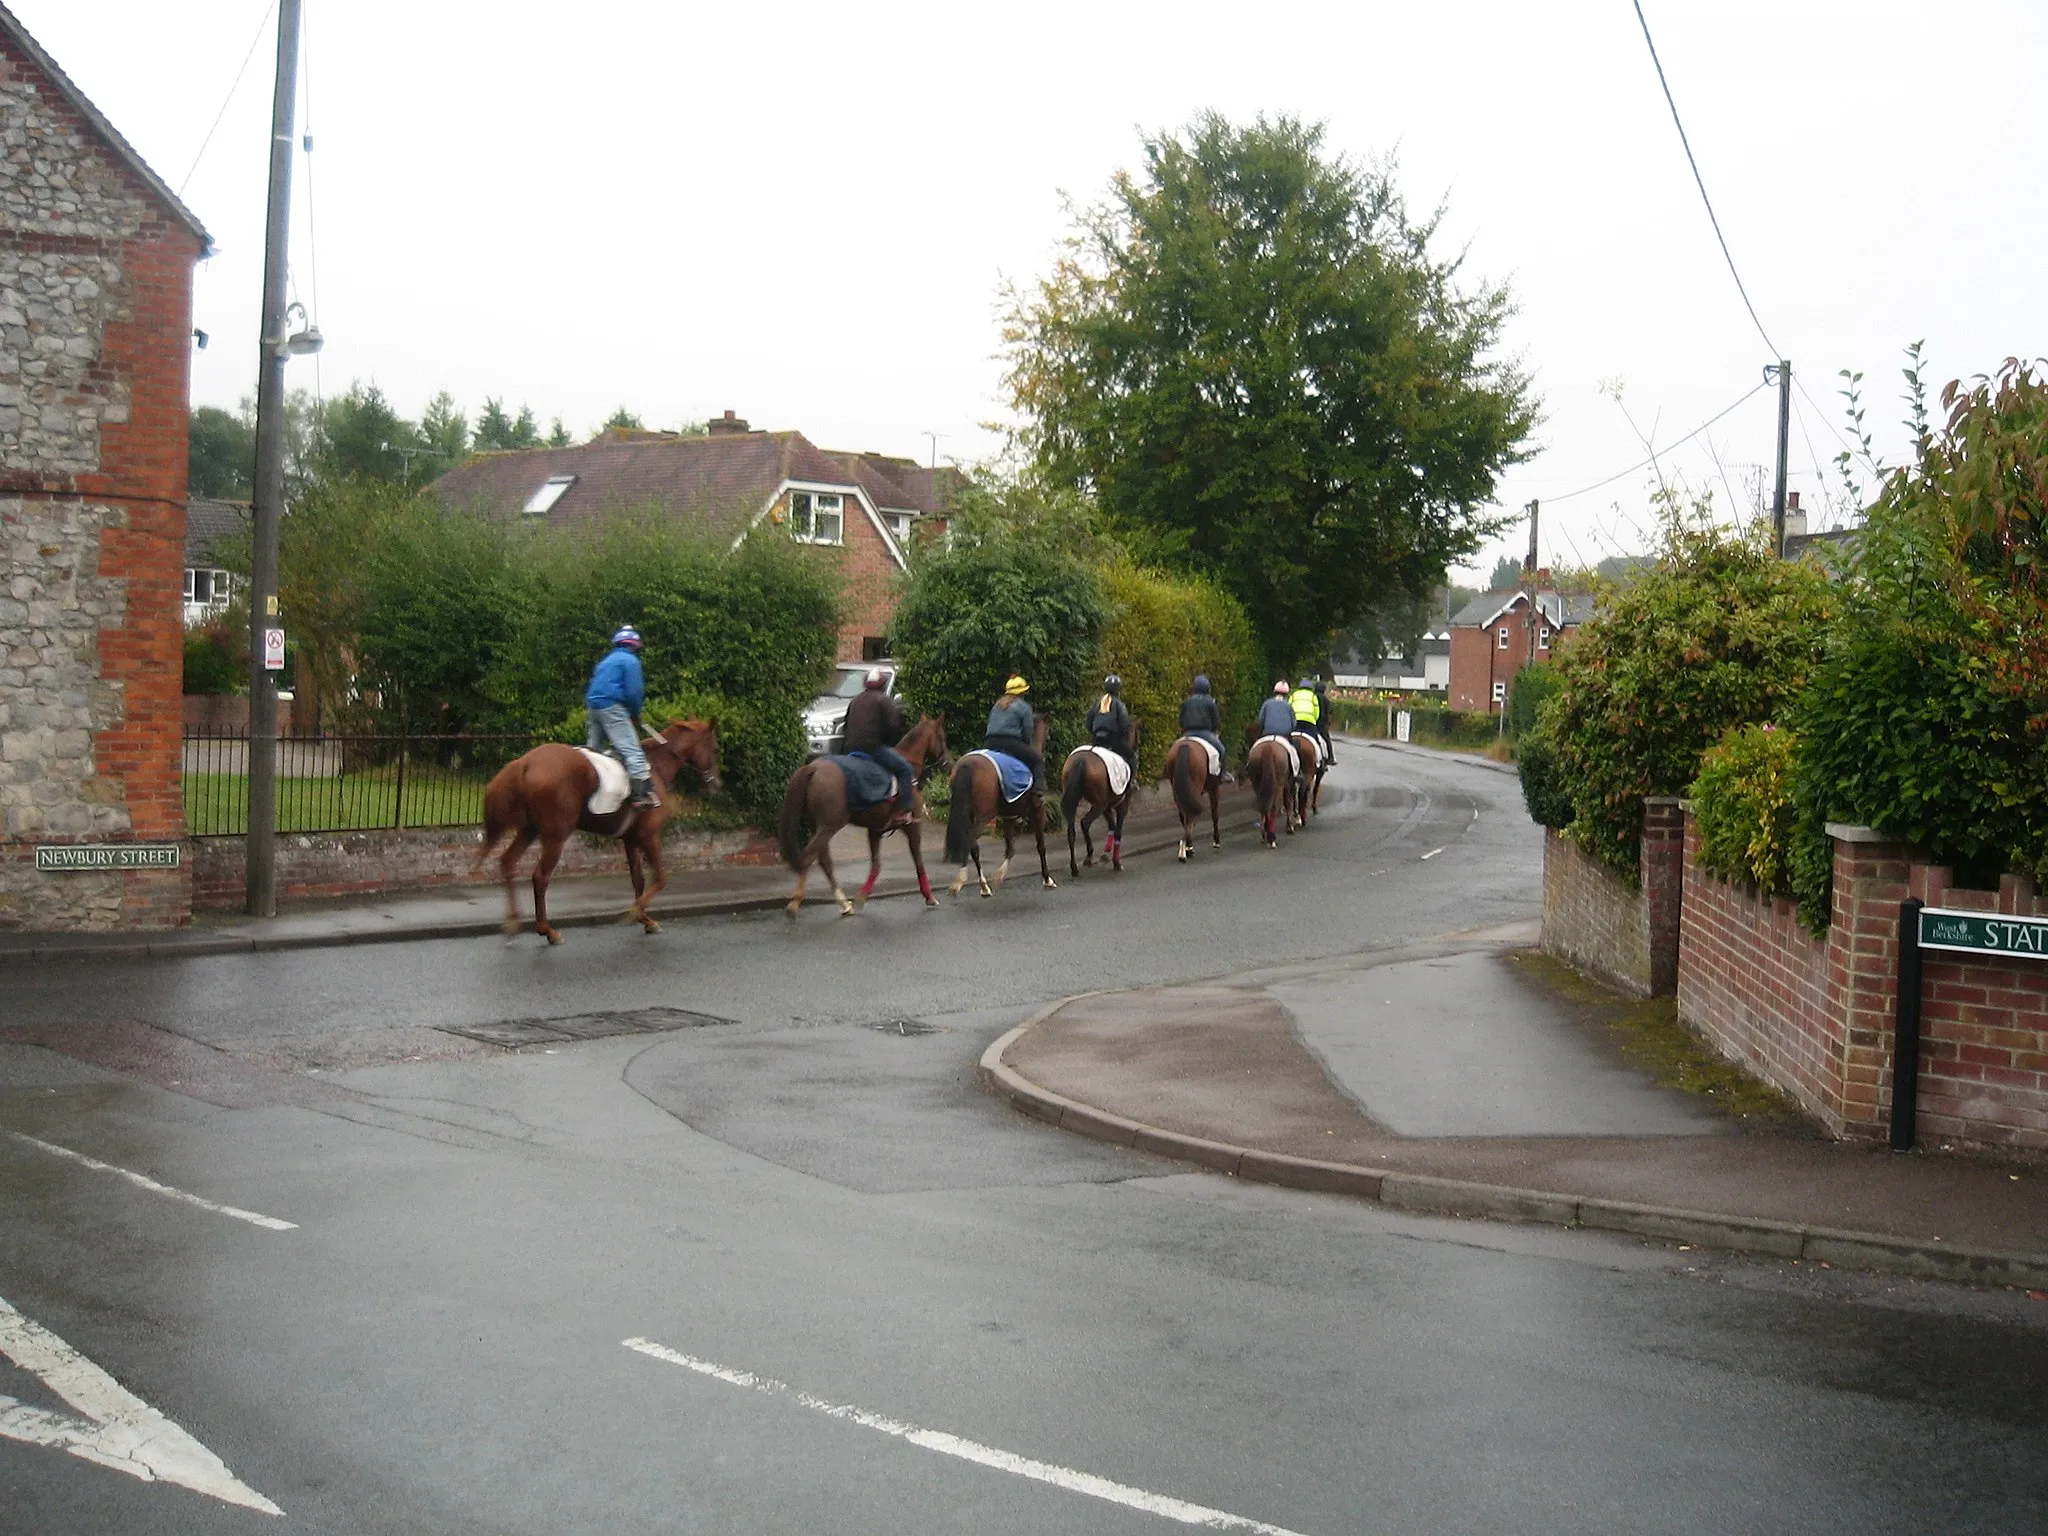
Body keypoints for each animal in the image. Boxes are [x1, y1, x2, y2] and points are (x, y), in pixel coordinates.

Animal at [475, 716, 724, 946]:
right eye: (714, 748)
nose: (716, 784)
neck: (656, 767)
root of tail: (524, 762)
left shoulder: (631, 839)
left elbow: (638, 879)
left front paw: (645, 919)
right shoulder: (649, 836)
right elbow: (660, 878)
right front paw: (633, 913)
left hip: (530, 829)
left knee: (508, 861)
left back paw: (513, 922)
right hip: (556, 835)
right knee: (540, 877)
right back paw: (547, 930)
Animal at [774, 716, 950, 921]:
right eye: (942, 737)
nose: (948, 763)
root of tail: (813, 767)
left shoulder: (875, 830)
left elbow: (876, 865)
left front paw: (861, 897)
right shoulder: (913, 826)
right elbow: (918, 861)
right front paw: (929, 896)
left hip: (818, 826)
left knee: (824, 861)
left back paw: (843, 903)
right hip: (829, 826)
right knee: (809, 856)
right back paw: (795, 903)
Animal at [942, 720, 1056, 901]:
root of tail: (968, 764)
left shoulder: (1009, 817)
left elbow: (1010, 848)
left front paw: (1000, 876)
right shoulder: (1038, 811)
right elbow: (1040, 846)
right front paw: (1047, 878)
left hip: (970, 814)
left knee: (973, 846)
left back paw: (983, 886)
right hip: (983, 816)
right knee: (970, 841)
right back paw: (961, 881)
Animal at [1064, 720, 1146, 876]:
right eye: (1137, 734)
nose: (1137, 749)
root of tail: (1081, 760)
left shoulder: (1107, 807)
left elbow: (1112, 826)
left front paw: (1106, 853)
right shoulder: (1121, 804)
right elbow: (1118, 830)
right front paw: (1116, 862)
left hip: (1080, 801)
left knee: (1071, 831)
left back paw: (1074, 867)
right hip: (1099, 805)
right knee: (1085, 823)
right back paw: (1089, 857)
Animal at [1163, 737, 1220, 868]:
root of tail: (1185, 746)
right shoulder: (1214, 788)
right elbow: (1214, 814)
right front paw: (1216, 842)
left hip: (1178, 790)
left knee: (1184, 814)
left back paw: (1186, 848)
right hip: (1196, 787)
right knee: (1190, 815)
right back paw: (1188, 848)